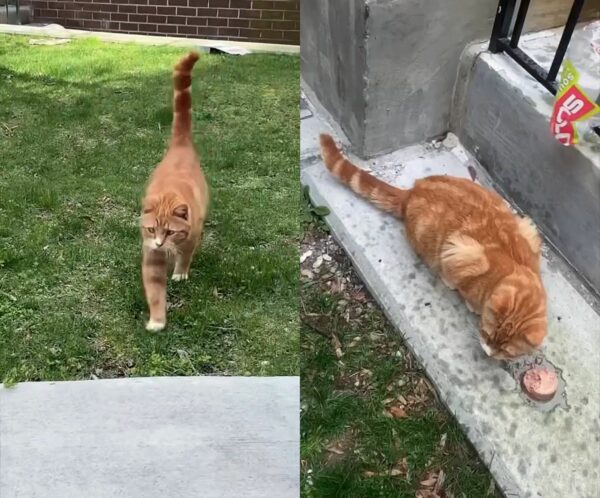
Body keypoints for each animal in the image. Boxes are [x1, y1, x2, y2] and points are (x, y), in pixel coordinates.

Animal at [322, 133, 548, 358]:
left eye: (506, 351)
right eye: (487, 334)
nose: (488, 353)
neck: (517, 269)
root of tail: (413, 190)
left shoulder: (529, 232)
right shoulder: (460, 251)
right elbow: (462, 284)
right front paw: (471, 303)